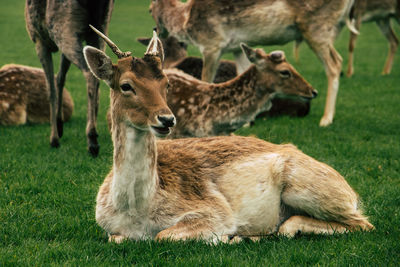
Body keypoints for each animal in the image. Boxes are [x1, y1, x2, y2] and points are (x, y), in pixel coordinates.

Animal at [24, 0, 114, 157]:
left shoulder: (39, 40)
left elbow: (50, 89)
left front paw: (54, 139)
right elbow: (60, 77)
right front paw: (59, 125)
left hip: (63, 27)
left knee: (89, 73)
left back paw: (92, 139)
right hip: (100, 28)